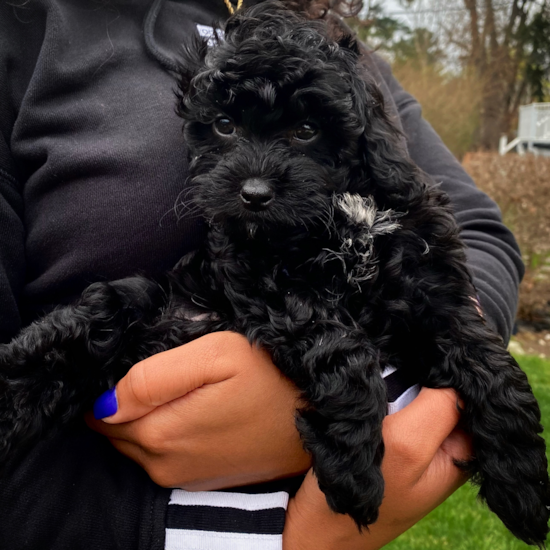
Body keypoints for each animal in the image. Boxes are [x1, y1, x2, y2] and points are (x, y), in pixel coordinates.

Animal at [1, 3, 550, 548]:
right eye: (224, 125)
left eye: (307, 130)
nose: (253, 194)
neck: (341, 208)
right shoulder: (264, 280)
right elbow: (342, 348)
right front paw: (353, 465)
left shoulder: (435, 289)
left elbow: (491, 365)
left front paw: (523, 483)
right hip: (141, 303)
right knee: (80, 327)